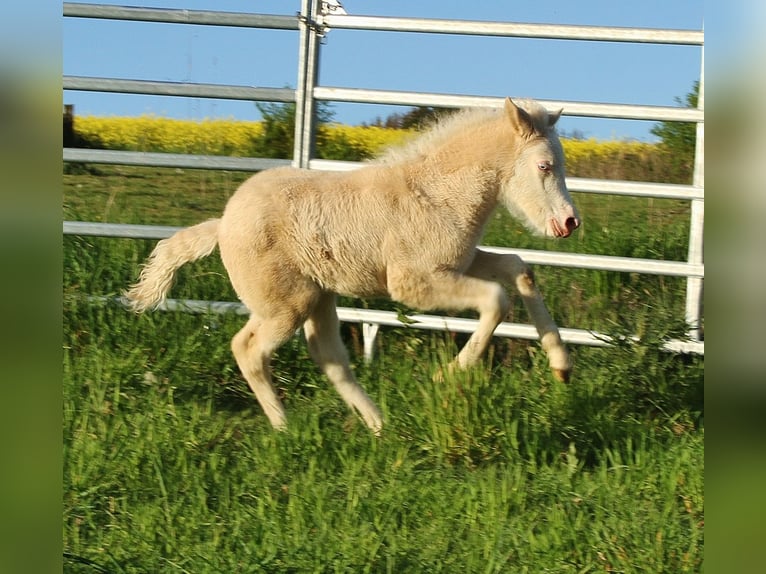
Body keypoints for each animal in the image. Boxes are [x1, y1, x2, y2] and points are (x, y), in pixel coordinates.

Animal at [124, 97, 580, 435]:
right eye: (544, 165)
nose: (569, 222)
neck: (437, 193)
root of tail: (221, 225)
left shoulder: (460, 263)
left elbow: (519, 269)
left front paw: (561, 367)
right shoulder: (413, 282)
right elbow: (497, 300)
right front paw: (448, 376)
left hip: (312, 297)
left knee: (327, 355)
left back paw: (379, 425)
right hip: (286, 304)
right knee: (250, 349)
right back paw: (285, 427)